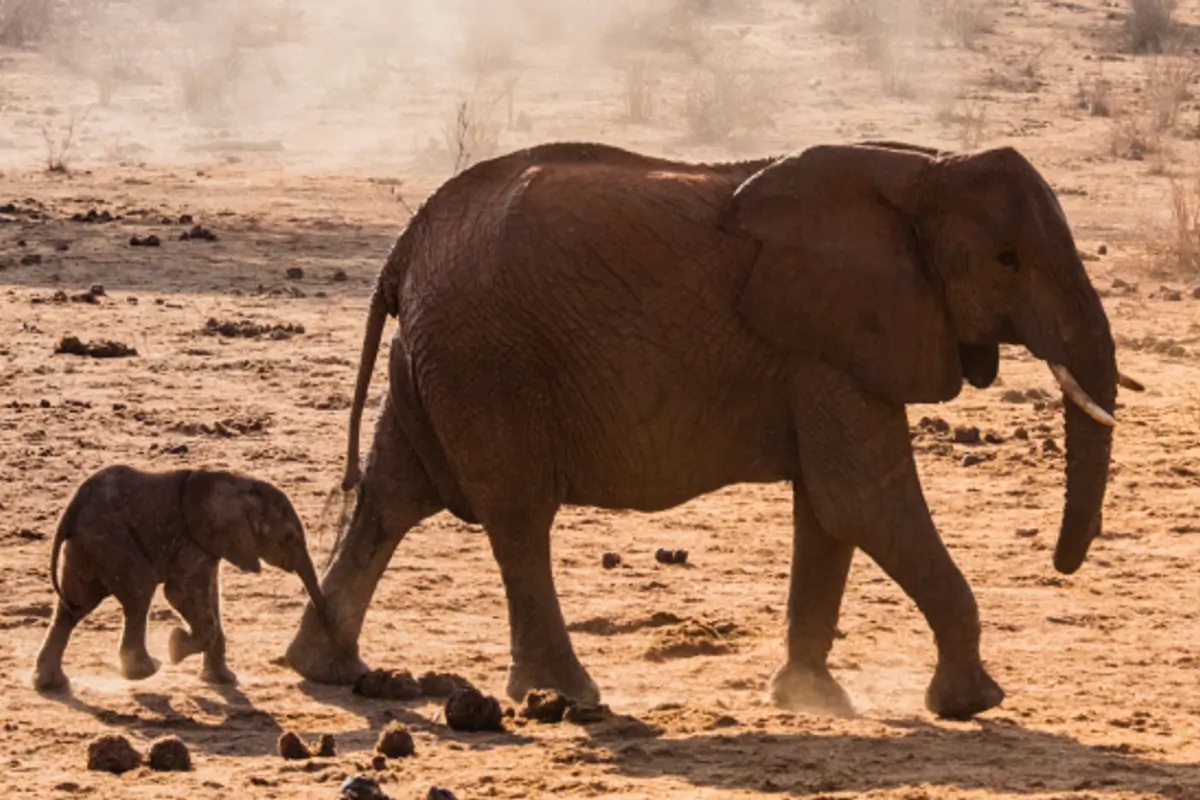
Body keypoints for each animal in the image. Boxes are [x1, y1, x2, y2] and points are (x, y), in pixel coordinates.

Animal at [33, 465, 335, 692]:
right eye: (289, 538)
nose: (327, 622)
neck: (237, 482)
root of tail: (72, 509)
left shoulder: (210, 542)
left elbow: (211, 597)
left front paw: (222, 680)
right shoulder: (193, 537)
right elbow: (180, 592)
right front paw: (175, 648)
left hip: (89, 542)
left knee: (73, 605)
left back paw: (50, 684)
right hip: (109, 537)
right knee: (138, 589)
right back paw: (148, 670)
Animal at [285, 139, 1140, 720]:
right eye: (1007, 260)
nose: (1063, 561)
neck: (922, 169)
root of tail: (406, 246)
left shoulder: (823, 346)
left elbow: (829, 510)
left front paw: (811, 699)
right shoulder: (827, 340)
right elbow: (865, 499)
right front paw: (974, 702)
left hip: (439, 356)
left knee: (393, 496)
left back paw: (324, 668)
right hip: (489, 357)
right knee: (518, 518)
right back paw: (570, 699)